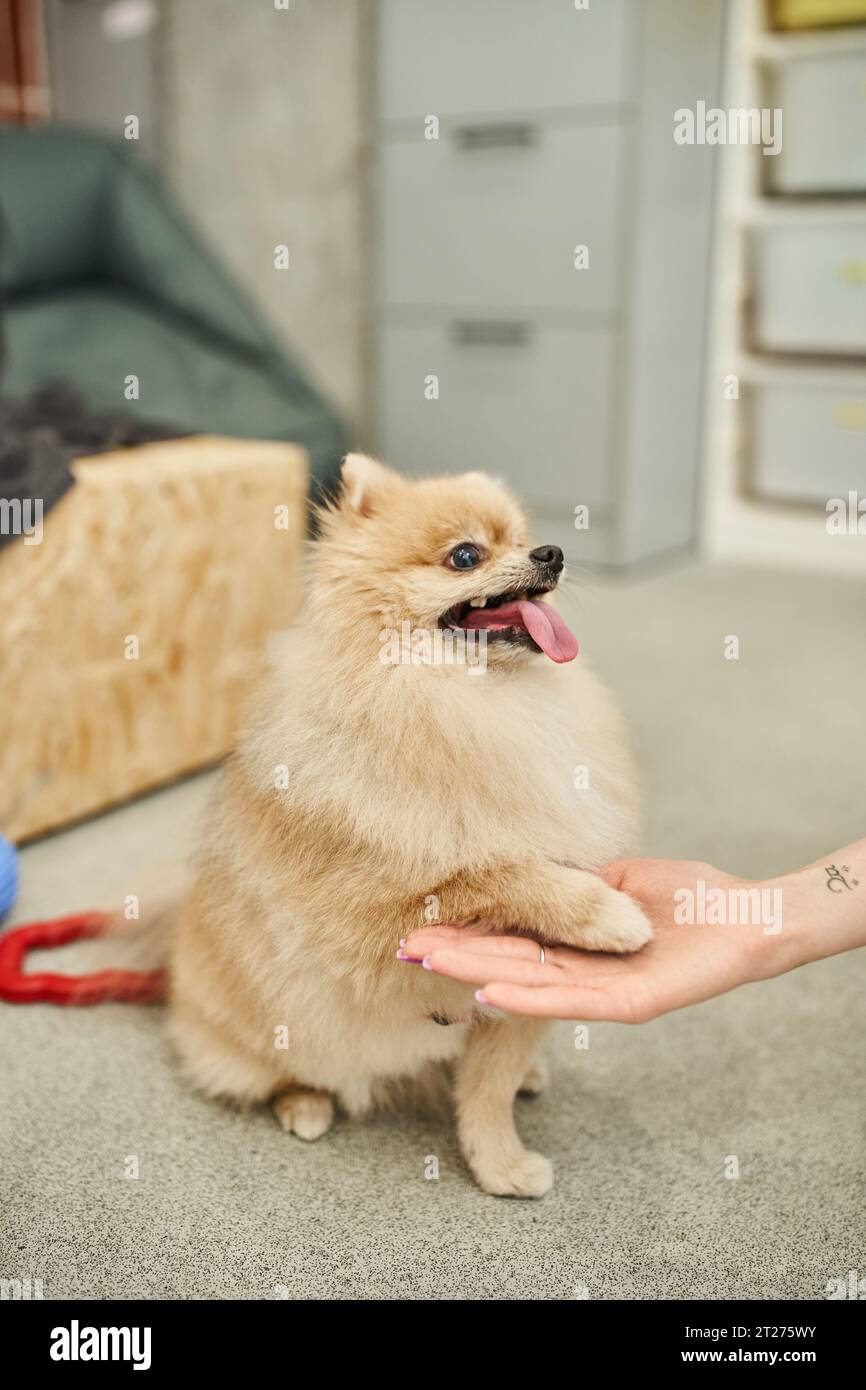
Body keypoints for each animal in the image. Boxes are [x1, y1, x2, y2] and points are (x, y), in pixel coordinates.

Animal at [167, 453, 650, 1195]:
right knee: (277, 1071)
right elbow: (497, 871)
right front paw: (607, 915)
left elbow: (488, 1088)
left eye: (521, 538)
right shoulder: (365, 923)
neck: (468, 700)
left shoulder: (510, 1002)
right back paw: (306, 1104)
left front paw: (499, 1163)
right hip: (254, 1030)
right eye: (465, 555)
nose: (552, 552)